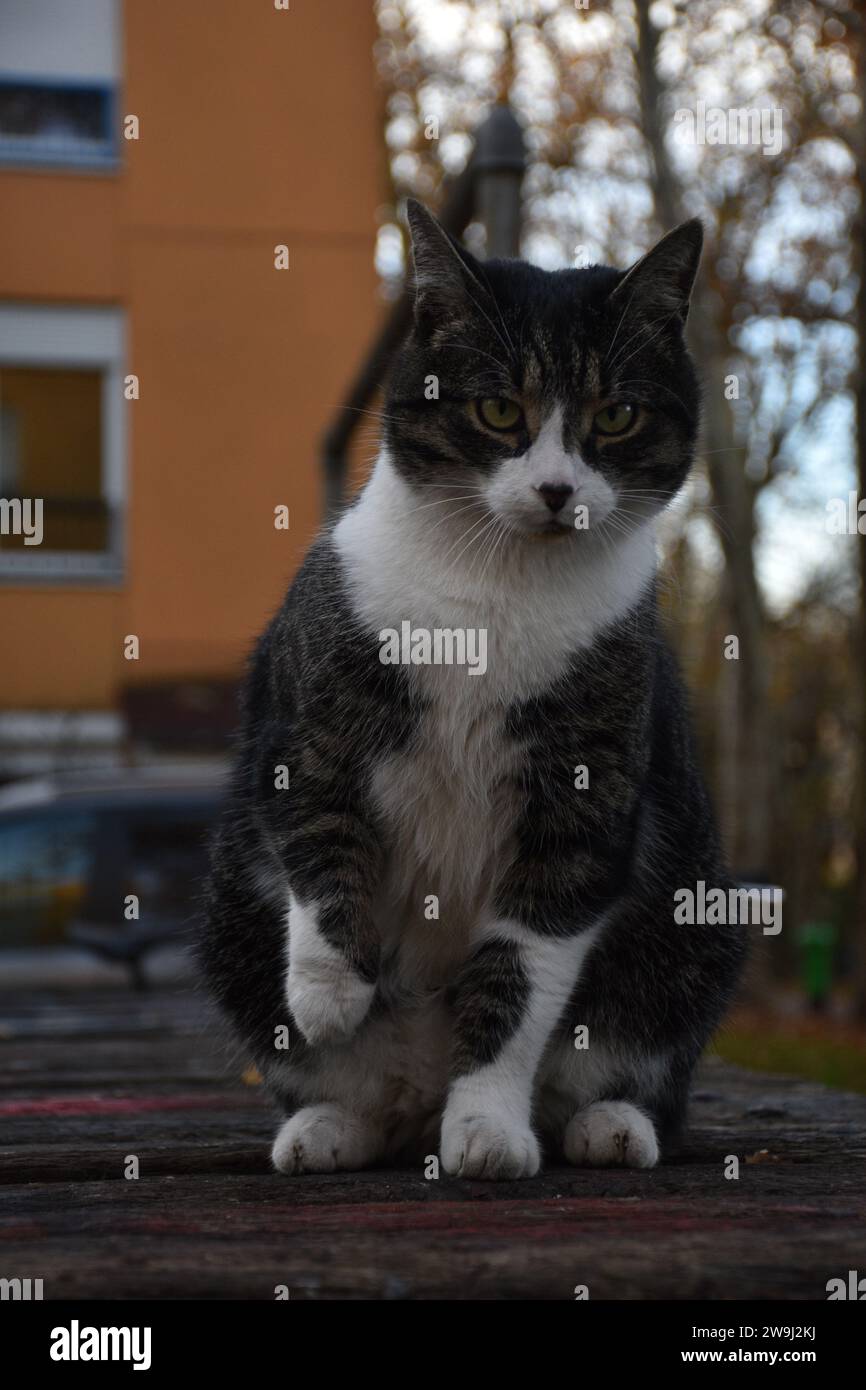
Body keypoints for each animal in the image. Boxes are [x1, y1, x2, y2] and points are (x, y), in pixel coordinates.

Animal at [195, 201, 745, 1178]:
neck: (495, 591)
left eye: (615, 415)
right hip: (229, 922)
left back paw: (609, 1125)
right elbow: (320, 842)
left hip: (698, 929)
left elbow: (519, 978)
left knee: (641, 1069)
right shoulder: (307, 727)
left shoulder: (584, 802)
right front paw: (330, 991)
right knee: (357, 1095)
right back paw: (327, 1127)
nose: (558, 488)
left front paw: (487, 1126)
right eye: (498, 409)